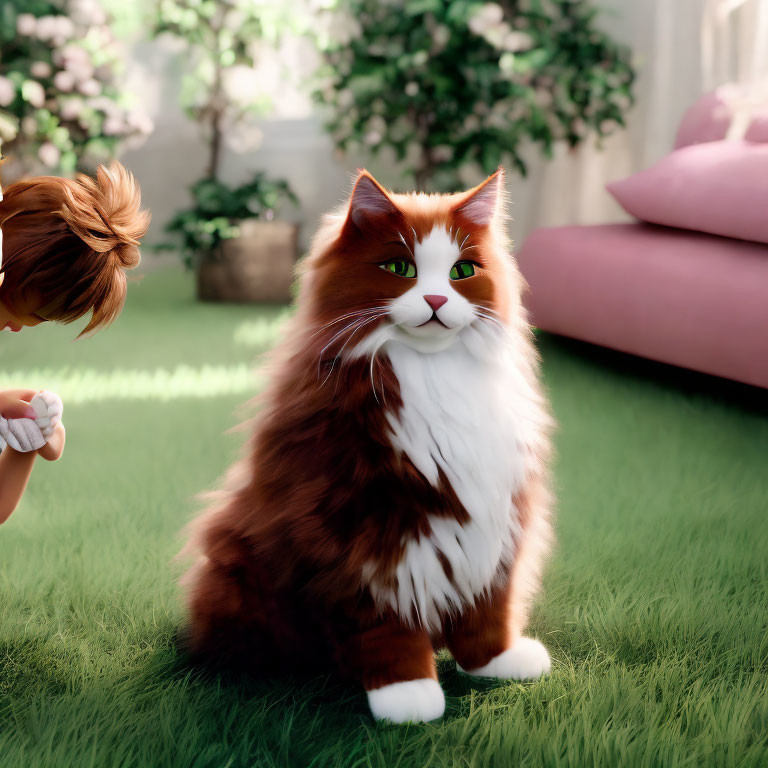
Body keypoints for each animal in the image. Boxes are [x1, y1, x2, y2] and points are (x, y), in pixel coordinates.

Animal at [180, 166, 552, 720]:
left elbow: (489, 604)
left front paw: (495, 661)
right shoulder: (358, 526)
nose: (437, 301)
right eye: (400, 267)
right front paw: (408, 693)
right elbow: (385, 622)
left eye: (462, 271)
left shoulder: (494, 509)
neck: (432, 373)